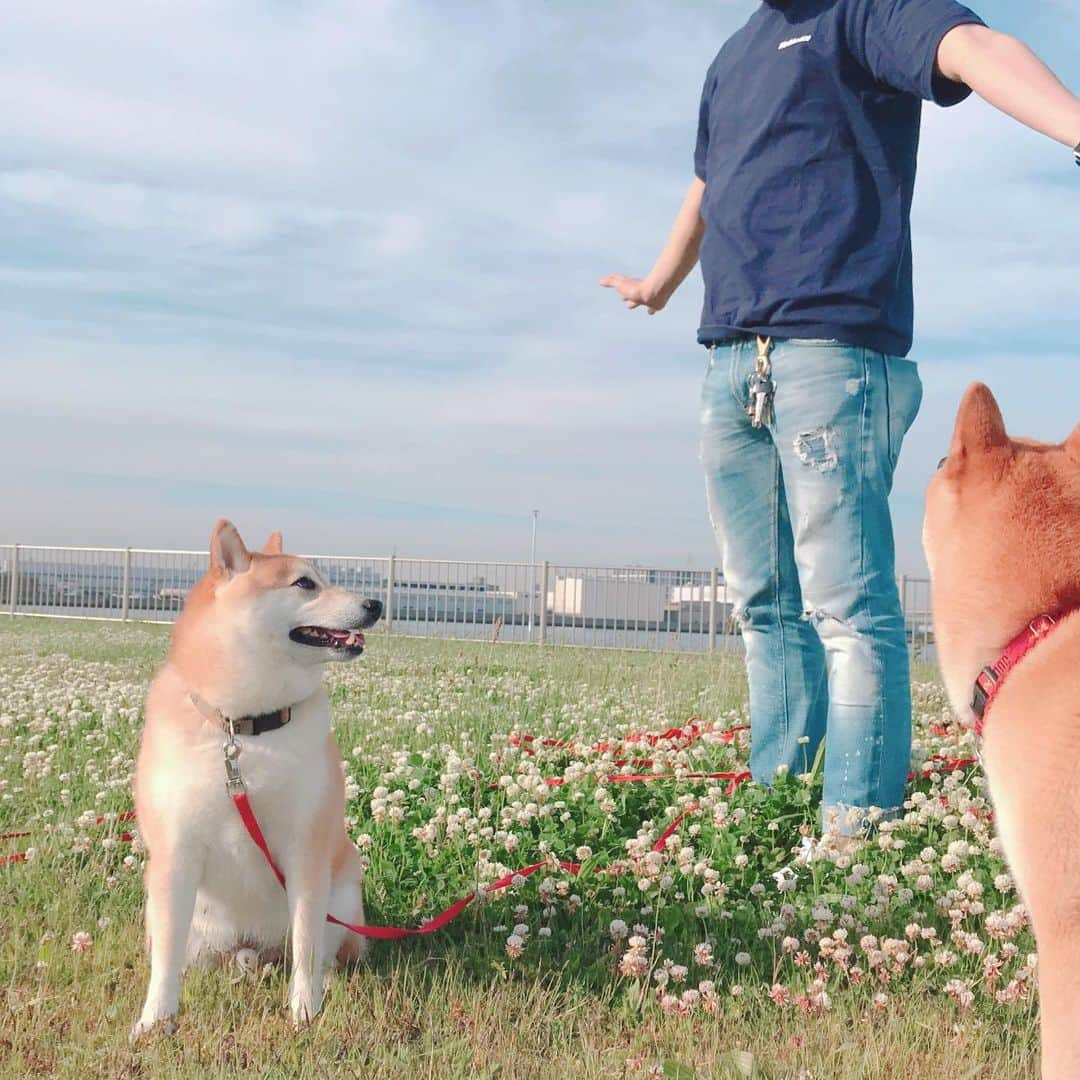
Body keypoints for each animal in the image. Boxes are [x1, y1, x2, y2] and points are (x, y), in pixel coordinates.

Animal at [133, 520, 382, 1036]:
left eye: (323, 577)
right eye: (305, 583)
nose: (376, 604)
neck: (246, 728)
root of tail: (253, 947)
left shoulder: (304, 850)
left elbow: (306, 945)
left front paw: (304, 1009)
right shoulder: (175, 852)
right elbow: (164, 960)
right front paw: (156, 1020)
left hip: (342, 901)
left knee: (322, 951)